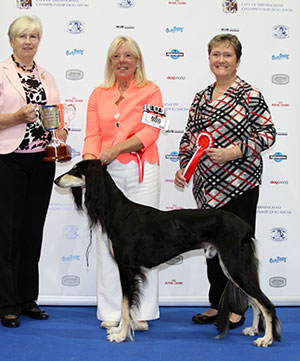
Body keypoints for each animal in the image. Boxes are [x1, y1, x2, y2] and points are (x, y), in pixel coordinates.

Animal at [55, 159, 282, 344]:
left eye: (76, 170)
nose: (57, 180)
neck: (118, 211)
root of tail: (245, 226)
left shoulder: (126, 268)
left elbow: (125, 305)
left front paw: (121, 335)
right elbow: (124, 305)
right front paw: (118, 329)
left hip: (236, 266)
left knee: (266, 304)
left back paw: (267, 339)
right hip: (233, 268)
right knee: (256, 303)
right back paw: (253, 330)